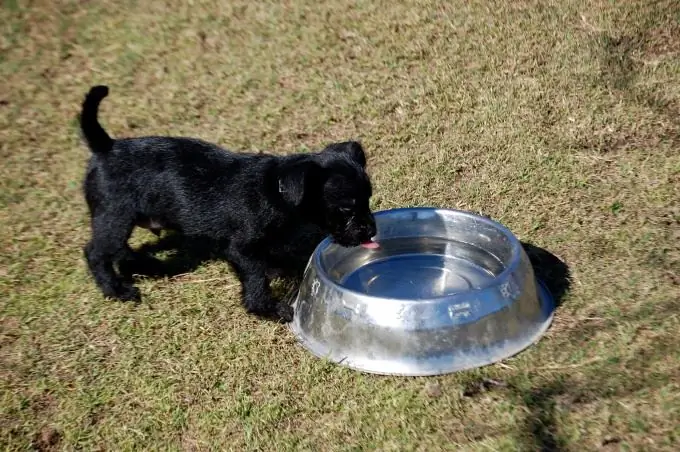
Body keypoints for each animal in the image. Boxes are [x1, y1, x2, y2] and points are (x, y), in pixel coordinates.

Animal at [81, 85, 378, 322]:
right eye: (346, 208)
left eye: (368, 199)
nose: (370, 230)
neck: (276, 190)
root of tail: (106, 147)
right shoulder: (242, 249)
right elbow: (256, 278)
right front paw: (269, 309)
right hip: (115, 217)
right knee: (96, 252)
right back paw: (116, 289)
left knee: (123, 251)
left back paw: (144, 266)